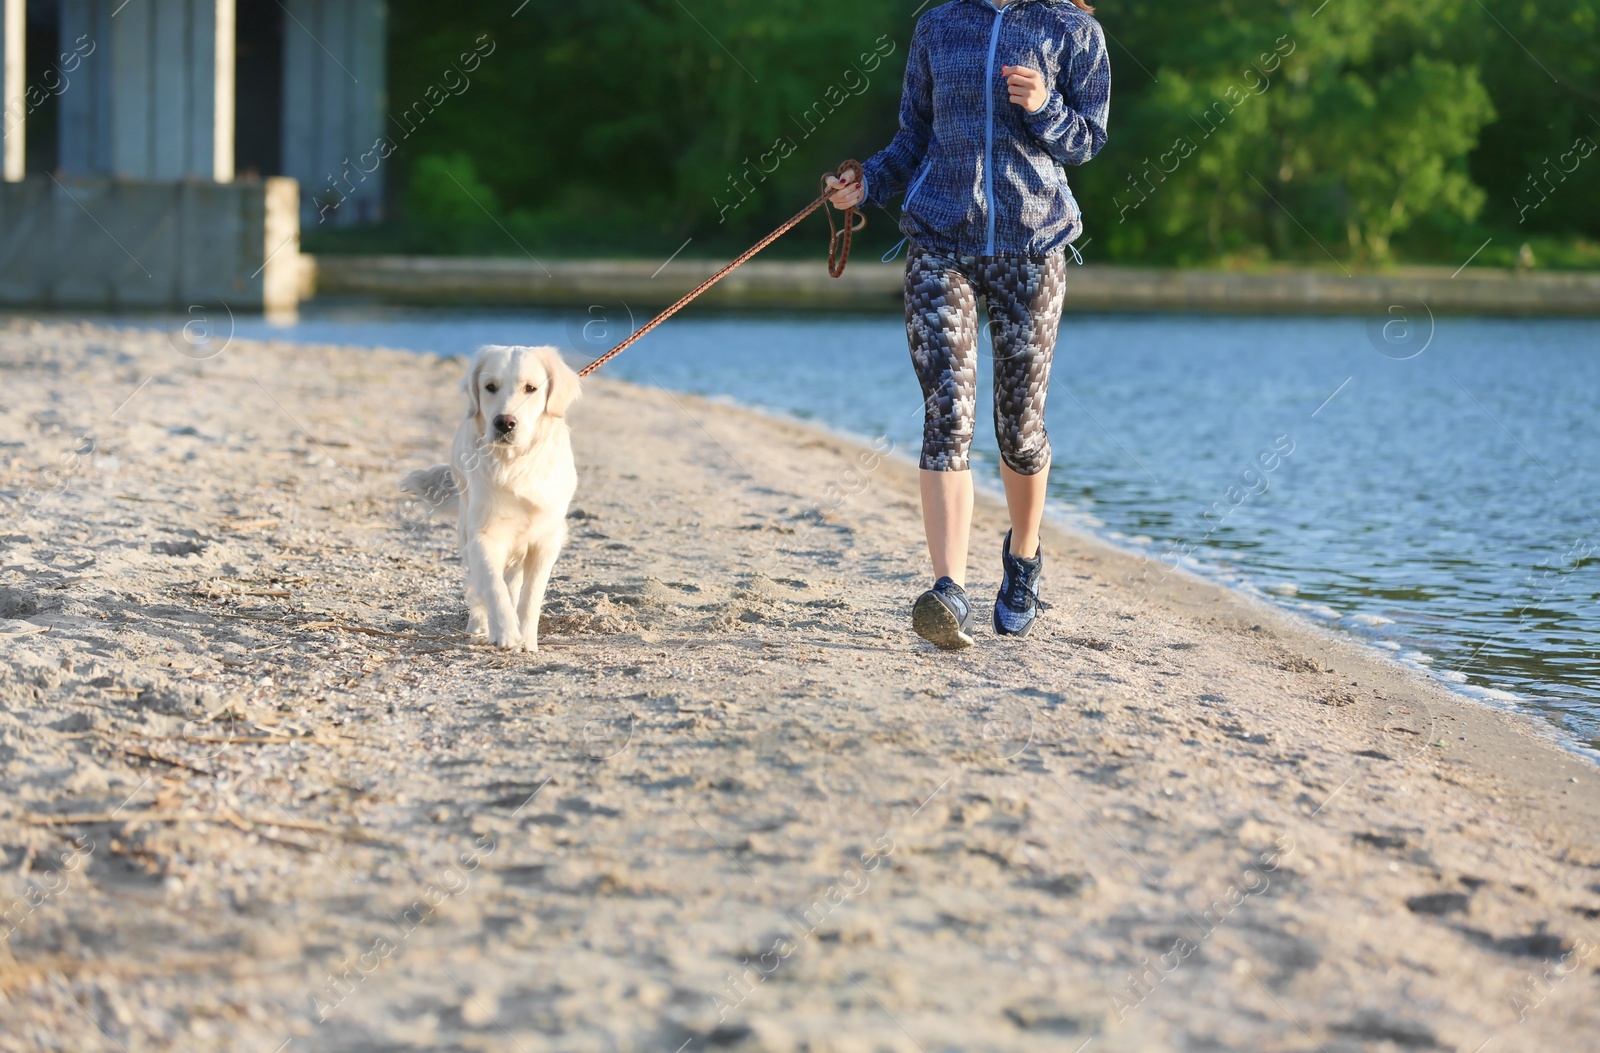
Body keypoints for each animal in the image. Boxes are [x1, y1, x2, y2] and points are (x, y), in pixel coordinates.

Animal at [400, 344, 582, 646]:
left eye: (531, 388)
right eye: (490, 387)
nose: (504, 423)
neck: (514, 463)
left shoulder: (546, 539)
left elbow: (530, 596)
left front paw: (527, 640)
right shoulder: (483, 535)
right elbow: (493, 586)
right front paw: (506, 633)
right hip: (465, 532)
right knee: (478, 587)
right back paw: (477, 627)